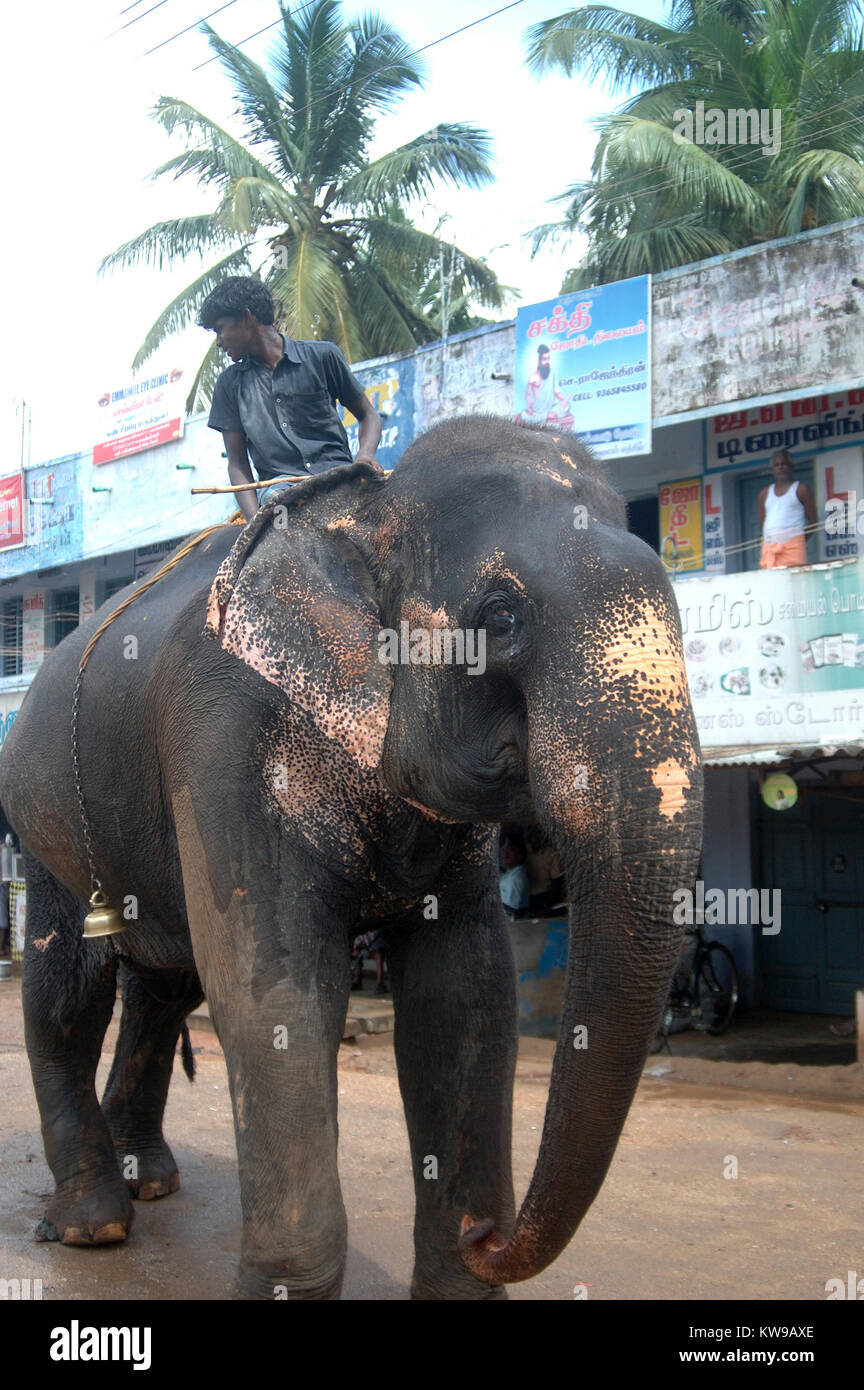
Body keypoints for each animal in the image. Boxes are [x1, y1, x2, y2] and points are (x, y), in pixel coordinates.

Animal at [0, 414, 705, 1301]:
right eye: (501, 615)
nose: (488, 1232)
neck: (369, 512)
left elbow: (466, 994)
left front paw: (459, 1274)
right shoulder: (225, 737)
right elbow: (275, 987)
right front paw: (286, 1286)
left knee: (163, 985)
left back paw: (148, 1179)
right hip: (45, 814)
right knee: (68, 989)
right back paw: (93, 1224)